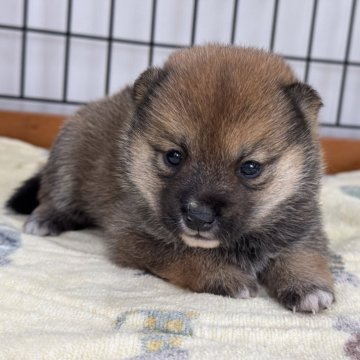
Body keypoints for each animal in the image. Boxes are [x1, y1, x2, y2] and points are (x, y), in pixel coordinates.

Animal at [7, 44, 334, 312]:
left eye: (250, 167)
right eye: (174, 156)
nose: (199, 217)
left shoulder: (303, 226)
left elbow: (302, 254)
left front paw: (308, 286)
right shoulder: (134, 236)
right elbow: (184, 255)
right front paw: (224, 276)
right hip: (68, 156)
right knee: (54, 196)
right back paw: (46, 219)